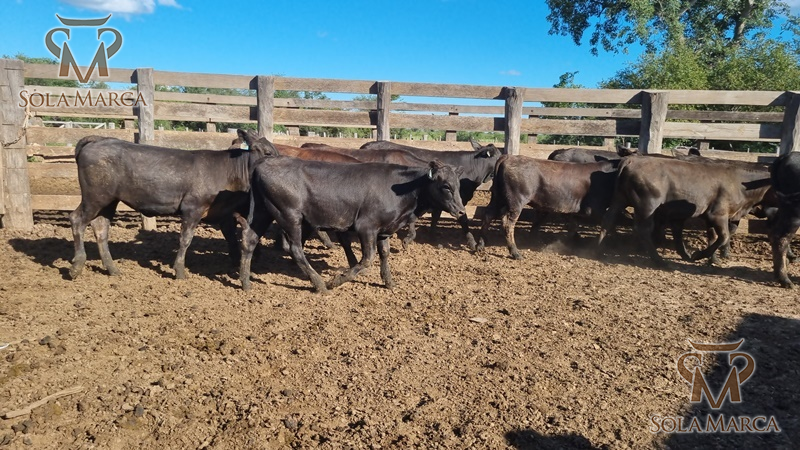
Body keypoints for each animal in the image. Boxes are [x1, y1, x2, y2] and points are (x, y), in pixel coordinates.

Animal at [68, 130, 276, 280]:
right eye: (267, 152)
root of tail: (99, 139)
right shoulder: (192, 209)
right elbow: (185, 239)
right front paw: (180, 271)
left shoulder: (224, 212)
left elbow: (231, 238)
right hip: (95, 197)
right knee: (77, 219)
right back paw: (77, 265)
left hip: (108, 201)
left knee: (101, 228)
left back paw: (112, 269)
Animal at [236, 133, 467, 293]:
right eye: (446, 186)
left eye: (458, 185)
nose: (461, 210)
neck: (402, 188)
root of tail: (264, 163)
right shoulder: (366, 227)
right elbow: (367, 258)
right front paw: (338, 279)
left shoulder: (384, 229)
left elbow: (384, 253)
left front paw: (389, 281)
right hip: (289, 215)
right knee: (294, 248)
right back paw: (320, 284)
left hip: (264, 211)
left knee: (250, 239)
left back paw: (245, 282)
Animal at [475, 155, 619, 259]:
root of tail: (508, 157)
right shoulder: (595, 208)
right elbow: (608, 223)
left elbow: (573, 225)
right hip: (516, 202)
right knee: (507, 224)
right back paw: (515, 253)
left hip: (498, 197)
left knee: (488, 215)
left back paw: (480, 244)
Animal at [597, 156, 771, 266]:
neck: (739, 182)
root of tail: (632, 160)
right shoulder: (718, 214)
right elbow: (723, 236)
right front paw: (699, 255)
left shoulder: (709, 218)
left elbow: (712, 237)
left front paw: (712, 259)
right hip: (647, 206)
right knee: (643, 229)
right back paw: (659, 260)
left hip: (619, 199)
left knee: (608, 219)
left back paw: (598, 249)